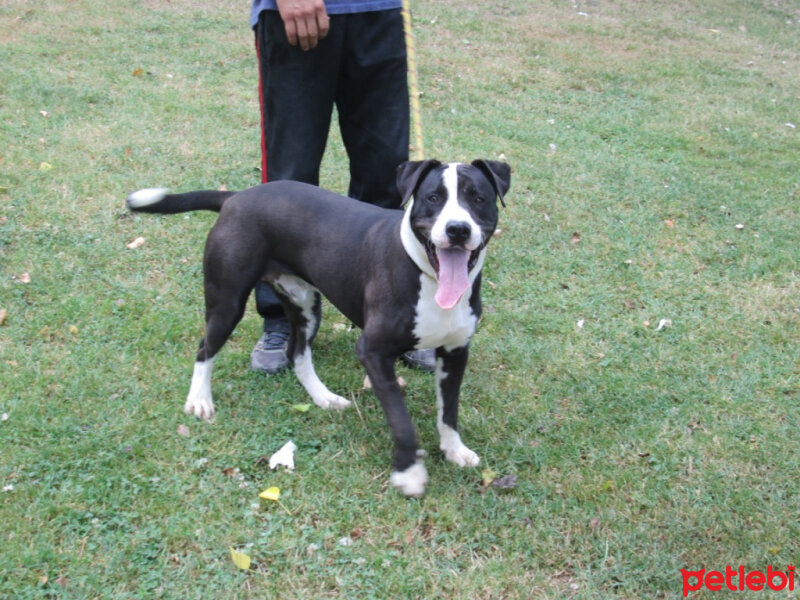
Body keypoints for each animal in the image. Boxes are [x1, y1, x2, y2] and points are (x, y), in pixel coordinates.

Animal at [127, 159, 510, 496]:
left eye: (477, 198)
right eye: (433, 198)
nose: (457, 229)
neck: (427, 276)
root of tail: (237, 196)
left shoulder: (455, 353)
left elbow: (449, 410)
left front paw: (454, 449)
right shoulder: (372, 351)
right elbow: (402, 421)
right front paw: (409, 473)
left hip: (305, 304)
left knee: (297, 353)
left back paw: (323, 397)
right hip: (227, 300)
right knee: (206, 347)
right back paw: (199, 400)